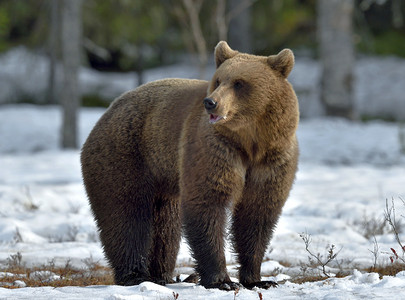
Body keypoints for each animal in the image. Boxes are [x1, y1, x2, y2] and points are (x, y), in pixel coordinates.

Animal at [80, 41, 298, 290]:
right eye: (218, 80)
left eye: (239, 82)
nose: (211, 102)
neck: (250, 141)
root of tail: (106, 112)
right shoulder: (214, 150)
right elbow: (207, 203)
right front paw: (222, 280)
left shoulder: (272, 159)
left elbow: (257, 214)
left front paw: (259, 279)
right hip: (126, 156)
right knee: (127, 215)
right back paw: (136, 275)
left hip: (163, 180)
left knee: (166, 227)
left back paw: (162, 275)